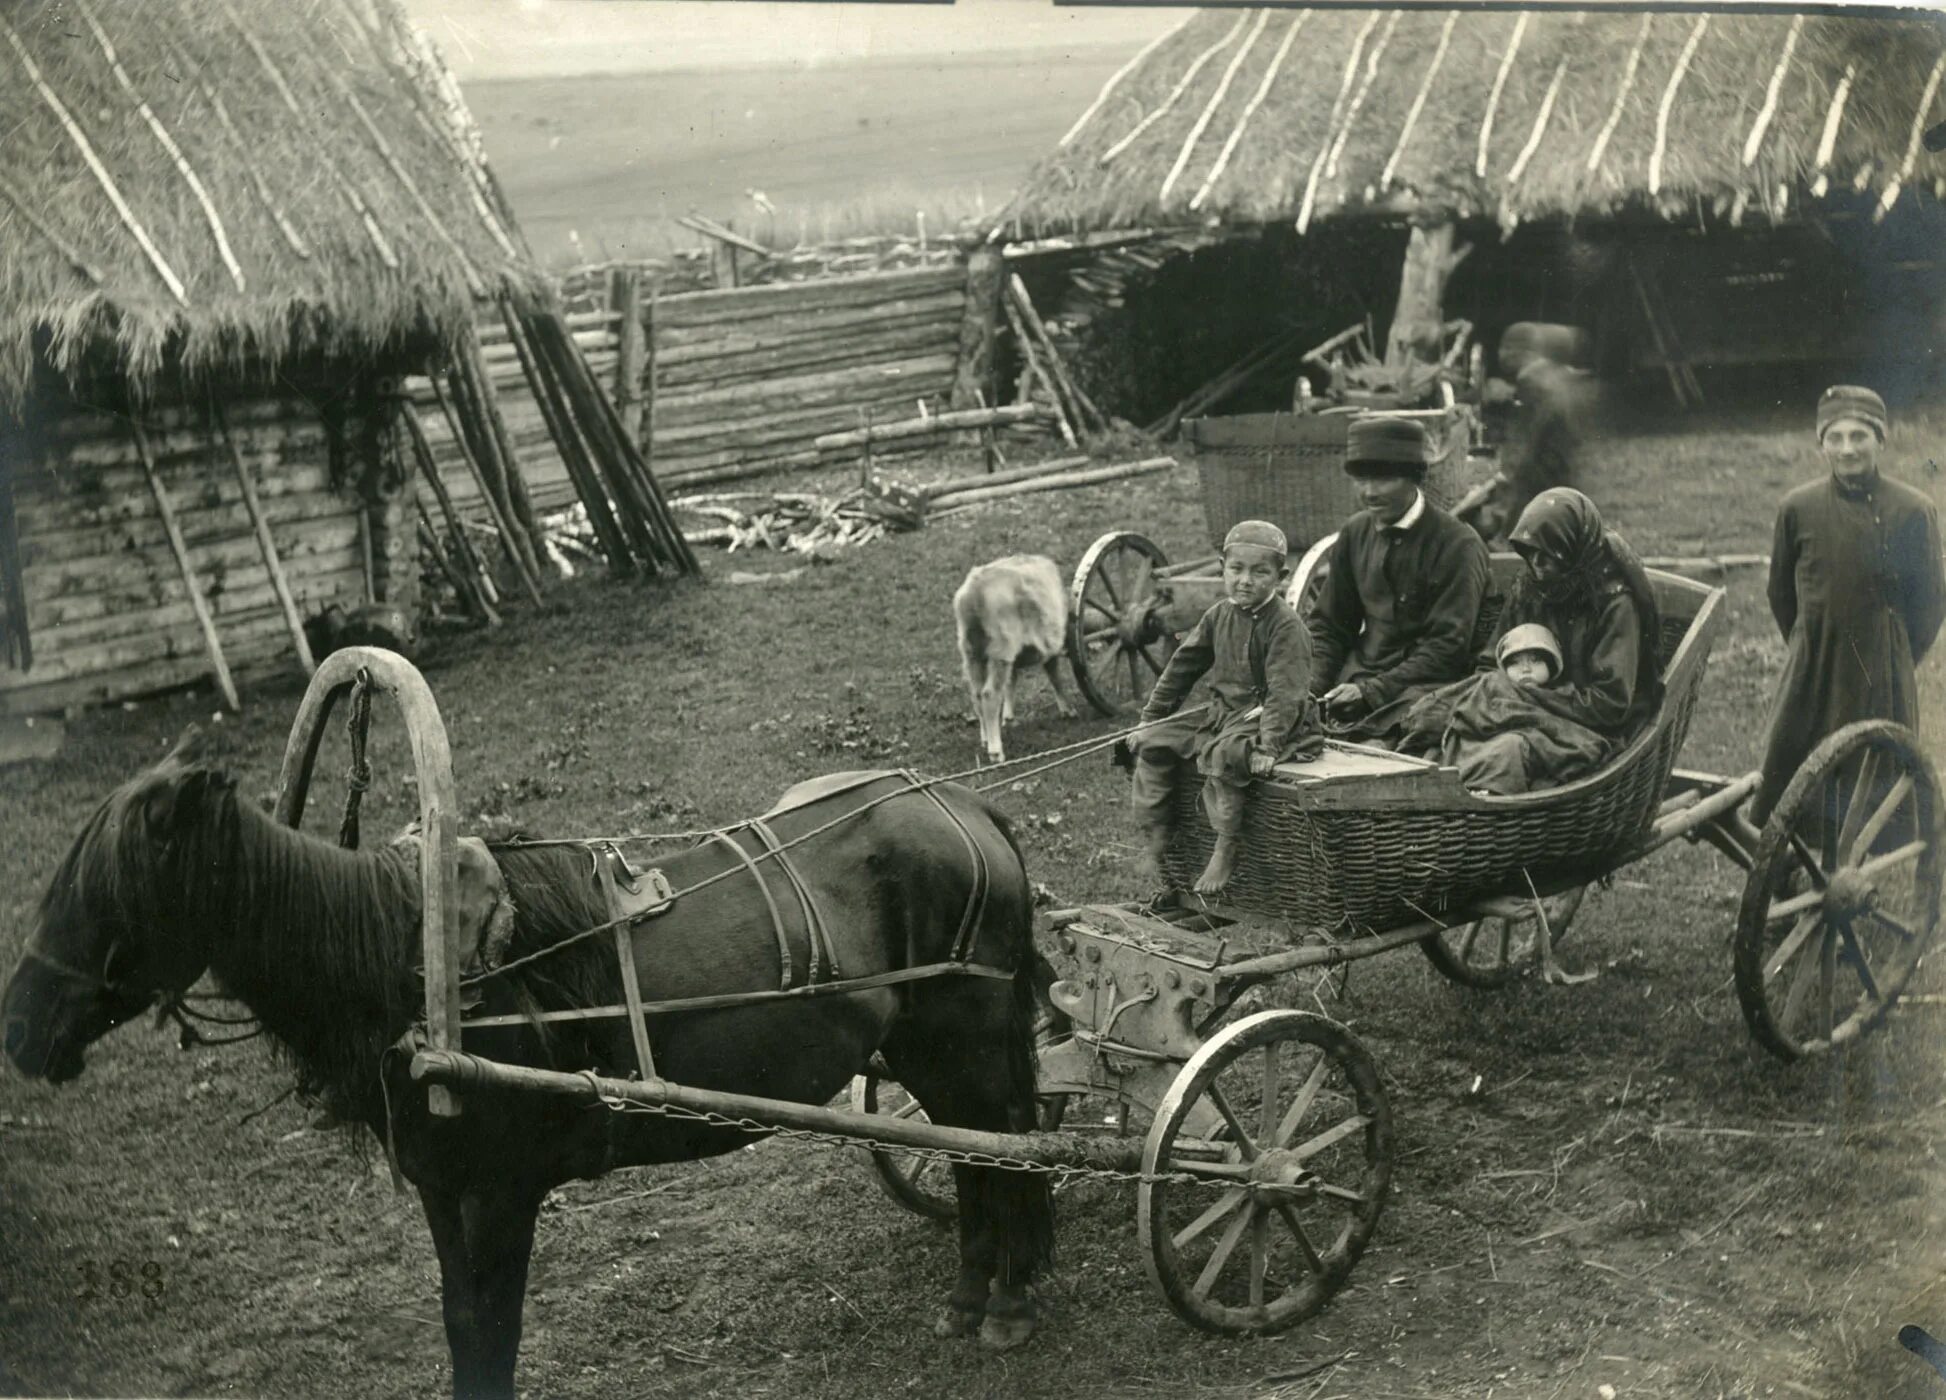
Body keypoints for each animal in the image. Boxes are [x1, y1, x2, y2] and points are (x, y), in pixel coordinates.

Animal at [0, 732, 1058, 1400]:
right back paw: (972, 1299)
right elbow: (459, 1324)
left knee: (1006, 1147)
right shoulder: (444, 1190)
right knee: (976, 1157)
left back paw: (1010, 1301)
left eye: (113, 893)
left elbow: (495, 1331)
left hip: (965, 1044)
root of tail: (962, 802)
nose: (18, 1026)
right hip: (926, 1051)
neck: (422, 971)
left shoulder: (502, 1193)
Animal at [945, 552, 1081, 767]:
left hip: (972, 653)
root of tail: (973, 593)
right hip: (1000, 650)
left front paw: (1009, 717)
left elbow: (1012, 682)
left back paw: (986, 738)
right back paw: (995, 751)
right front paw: (1067, 709)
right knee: (990, 694)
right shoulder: (1049, 648)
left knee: (977, 694)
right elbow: (1055, 677)